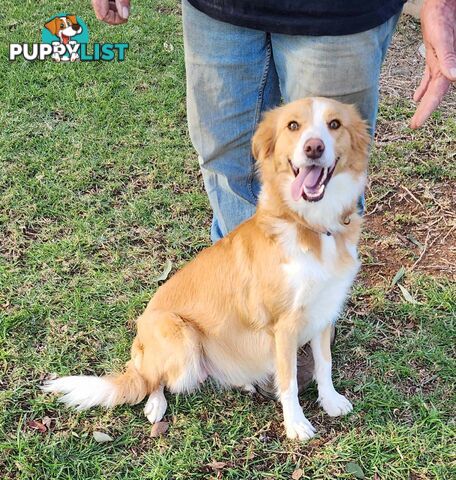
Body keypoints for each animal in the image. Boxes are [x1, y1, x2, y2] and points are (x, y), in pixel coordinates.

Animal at [42, 98, 370, 442]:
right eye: (293, 125)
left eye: (334, 124)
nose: (314, 148)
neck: (310, 224)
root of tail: (140, 340)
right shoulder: (284, 326)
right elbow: (289, 381)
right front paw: (296, 423)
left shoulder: (324, 311)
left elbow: (325, 364)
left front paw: (330, 400)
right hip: (180, 337)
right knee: (151, 380)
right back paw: (155, 404)